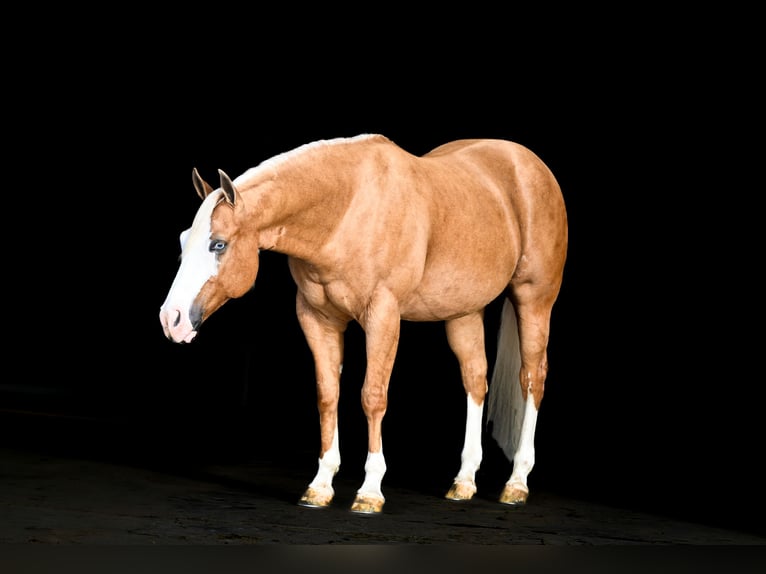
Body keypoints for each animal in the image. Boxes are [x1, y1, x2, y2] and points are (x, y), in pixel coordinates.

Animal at [159, 134, 568, 514]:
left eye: (218, 244)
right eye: (183, 240)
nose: (171, 319)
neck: (345, 211)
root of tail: (526, 162)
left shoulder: (382, 315)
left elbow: (372, 396)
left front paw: (370, 492)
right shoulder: (317, 318)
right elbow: (327, 395)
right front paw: (320, 485)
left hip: (534, 299)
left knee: (532, 378)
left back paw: (516, 483)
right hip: (463, 312)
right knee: (475, 380)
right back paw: (464, 481)